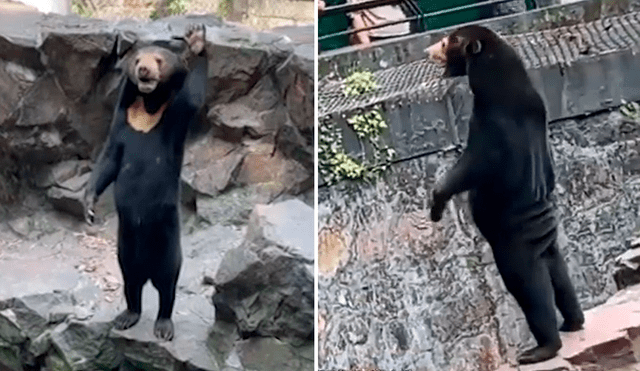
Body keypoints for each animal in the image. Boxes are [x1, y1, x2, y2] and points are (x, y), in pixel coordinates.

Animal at [83, 24, 208, 342]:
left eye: (159, 60)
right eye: (138, 59)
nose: (143, 70)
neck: (148, 108)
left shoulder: (174, 118)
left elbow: (194, 97)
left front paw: (197, 41)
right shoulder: (122, 122)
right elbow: (109, 160)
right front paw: (88, 207)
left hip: (167, 239)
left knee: (167, 282)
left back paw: (163, 325)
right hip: (125, 246)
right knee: (131, 281)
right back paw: (127, 316)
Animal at [424, 26, 584, 366]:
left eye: (446, 42)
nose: (427, 51)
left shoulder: (490, 125)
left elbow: (470, 167)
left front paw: (436, 204)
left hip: (514, 242)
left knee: (528, 285)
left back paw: (541, 348)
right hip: (546, 241)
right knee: (559, 272)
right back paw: (573, 321)